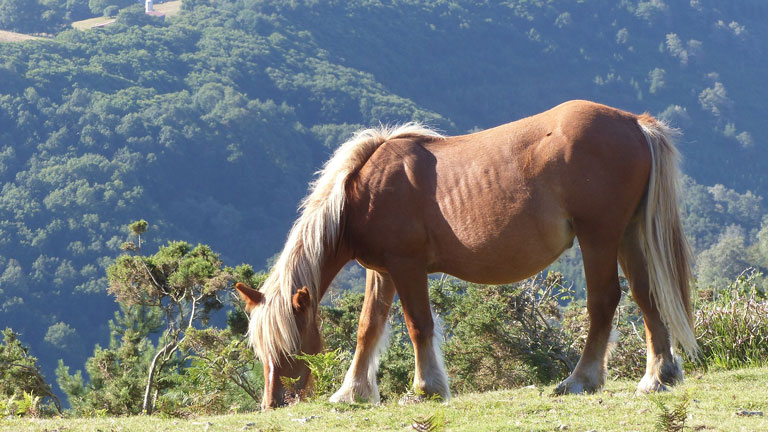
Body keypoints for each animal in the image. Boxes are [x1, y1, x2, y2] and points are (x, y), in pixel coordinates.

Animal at [234, 98, 696, 408]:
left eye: (289, 346)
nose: (273, 403)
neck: (360, 193)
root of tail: (635, 124)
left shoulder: (407, 266)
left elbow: (418, 325)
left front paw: (426, 389)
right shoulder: (381, 272)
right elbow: (369, 327)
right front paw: (352, 392)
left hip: (598, 237)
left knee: (605, 302)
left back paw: (581, 379)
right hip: (628, 236)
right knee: (647, 297)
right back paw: (658, 376)